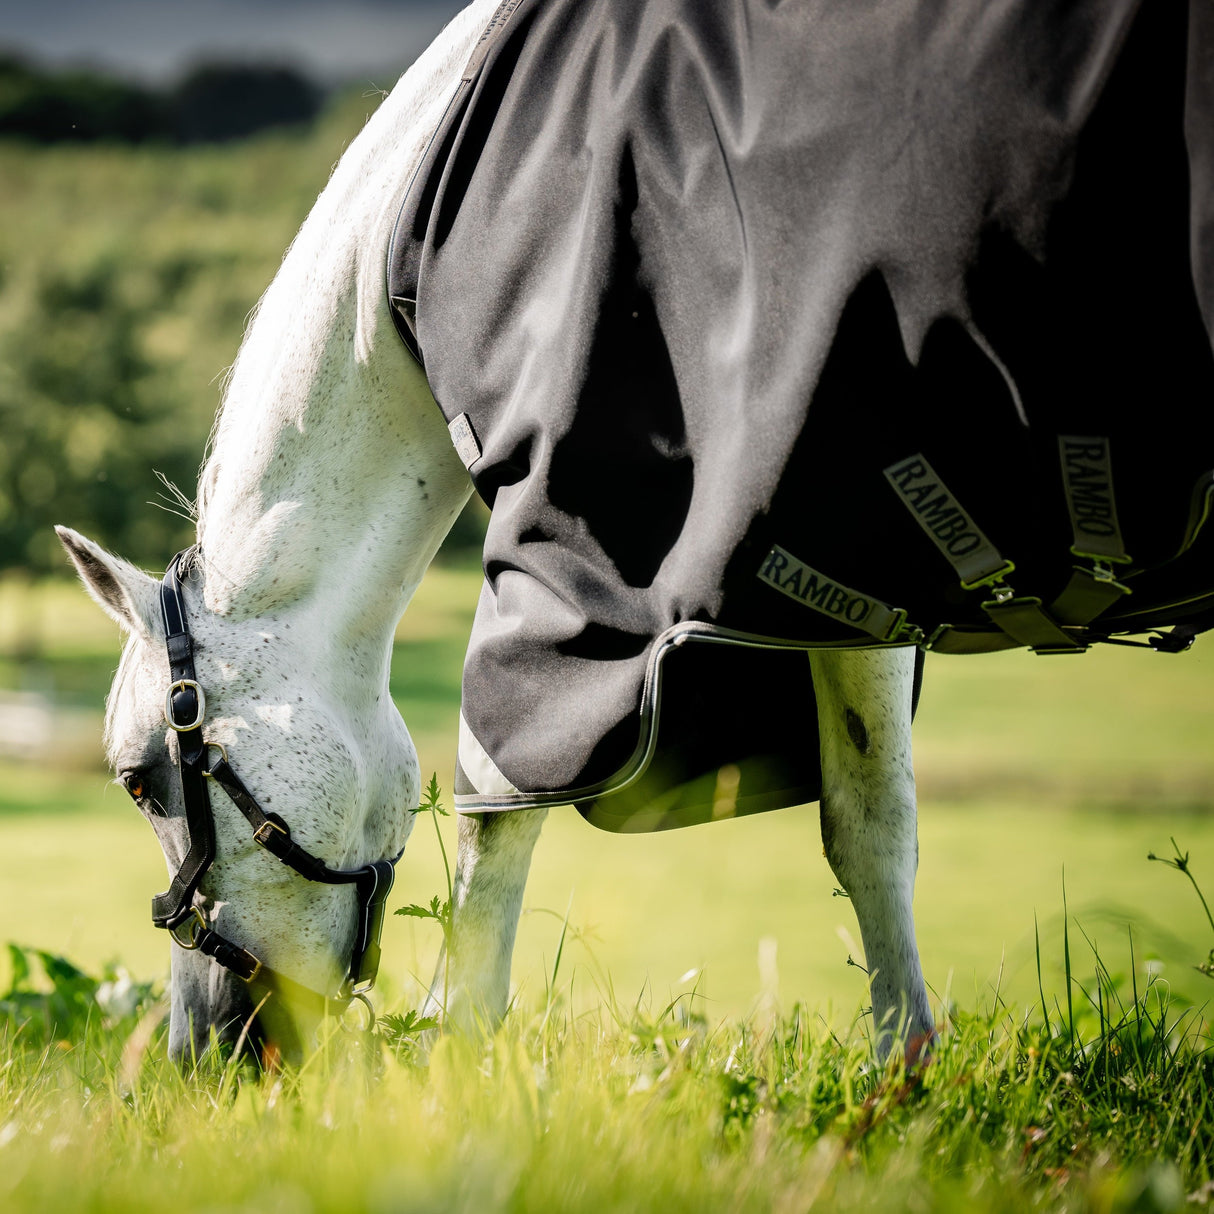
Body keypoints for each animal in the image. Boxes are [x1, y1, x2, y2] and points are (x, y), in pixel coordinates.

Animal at [57, 0, 976, 1063]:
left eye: (139, 781)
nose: (199, 1046)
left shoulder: (653, 568)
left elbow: (504, 812)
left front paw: (457, 1050)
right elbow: (866, 821)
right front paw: (903, 1064)